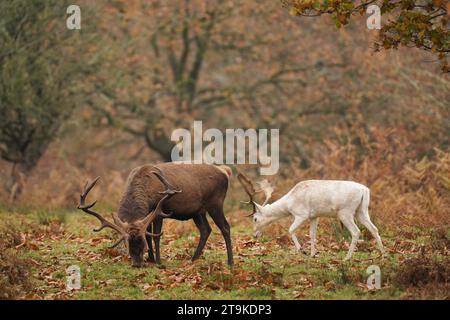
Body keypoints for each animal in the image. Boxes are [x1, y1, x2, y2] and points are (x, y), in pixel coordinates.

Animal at [78, 164, 232, 266]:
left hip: (215, 203)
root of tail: (225, 171)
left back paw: (230, 262)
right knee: (206, 229)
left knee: (225, 227)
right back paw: (193, 259)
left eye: (141, 244)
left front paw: (158, 261)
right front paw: (151, 259)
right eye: (127, 243)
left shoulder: (159, 210)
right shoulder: (147, 215)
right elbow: (149, 234)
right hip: (198, 211)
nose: (137, 264)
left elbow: (155, 236)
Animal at [237, 172, 384, 260]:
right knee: (374, 228)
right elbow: (312, 234)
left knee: (356, 231)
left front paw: (302, 251)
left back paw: (347, 258)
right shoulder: (314, 216)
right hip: (362, 211)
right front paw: (313, 254)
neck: (289, 203)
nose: (255, 235)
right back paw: (383, 254)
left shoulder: (301, 214)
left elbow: (291, 229)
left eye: (255, 218)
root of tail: (365, 190)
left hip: (345, 212)